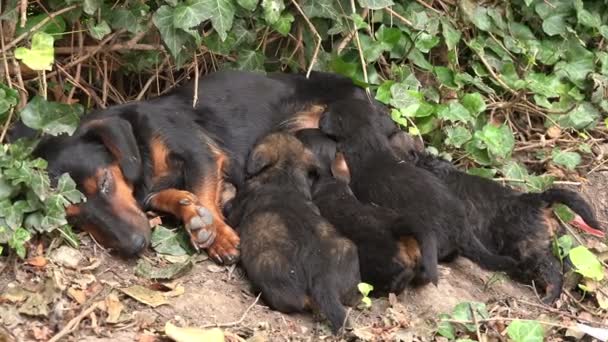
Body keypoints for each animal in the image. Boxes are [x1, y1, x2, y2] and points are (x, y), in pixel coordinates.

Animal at [10, 69, 384, 262]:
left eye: (104, 183)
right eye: (74, 217)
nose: (134, 245)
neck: (139, 144)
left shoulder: (199, 152)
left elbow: (202, 190)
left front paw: (218, 236)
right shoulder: (153, 191)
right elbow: (176, 196)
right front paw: (194, 216)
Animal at [390, 130, 604, 302]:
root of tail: (538, 200)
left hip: (529, 249)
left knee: (552, 271)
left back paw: (548, 298)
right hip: (556, 242)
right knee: (567, 263)